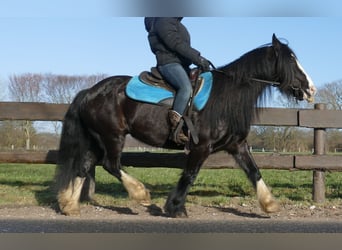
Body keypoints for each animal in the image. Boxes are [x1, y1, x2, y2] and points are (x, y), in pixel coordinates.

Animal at [55, 34, 316, 217]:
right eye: (291, 61)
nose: (310, 89)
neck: (226, 96)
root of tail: (89, 92)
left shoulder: (237, 145)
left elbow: (254, 172)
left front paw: (270, 204)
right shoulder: (201, 147)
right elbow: (189, 175)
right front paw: (175, 207)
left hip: (96, 139)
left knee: (84, 167)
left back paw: (69, 206)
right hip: (112, 136)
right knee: (111, 164)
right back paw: (140, 193)